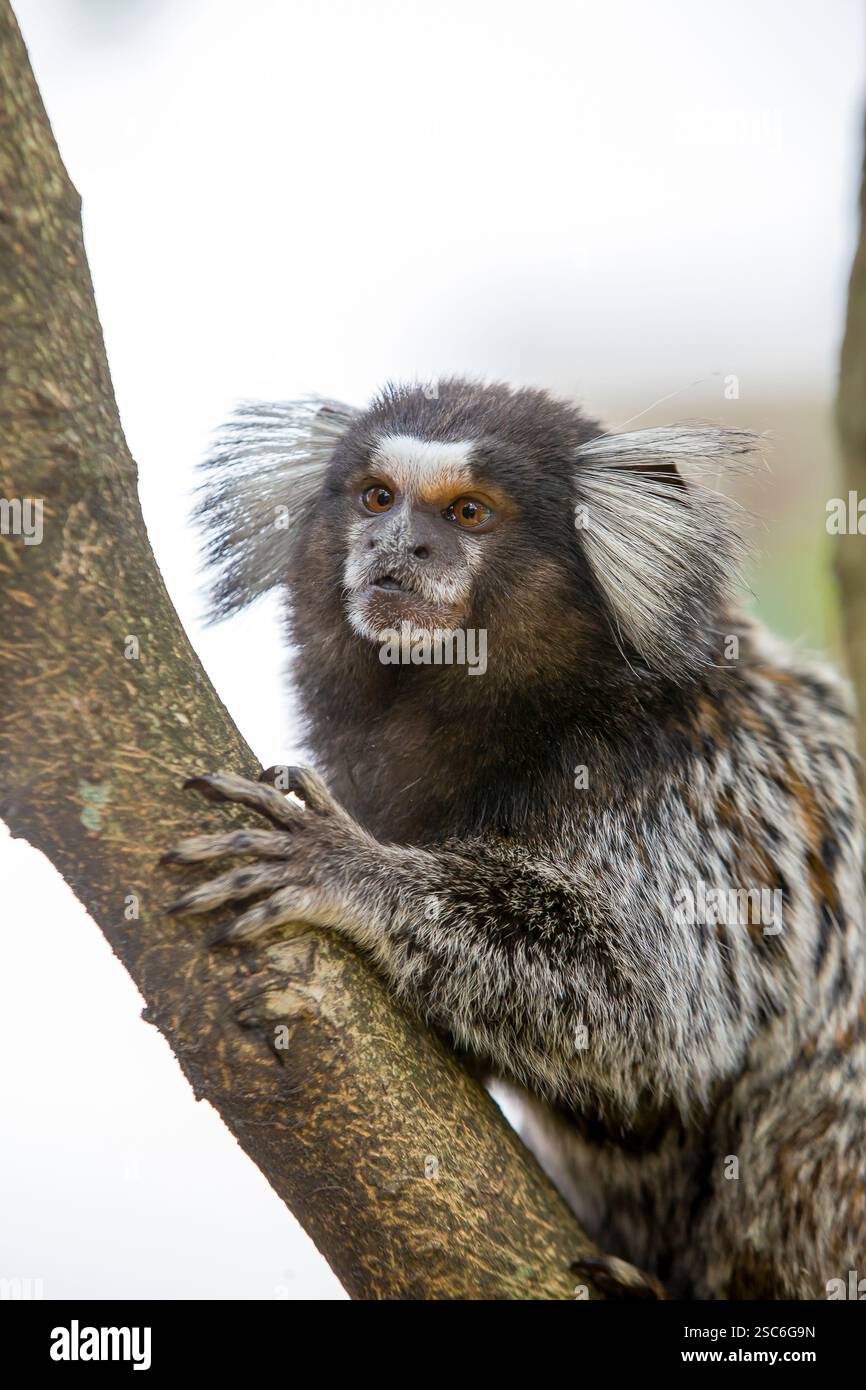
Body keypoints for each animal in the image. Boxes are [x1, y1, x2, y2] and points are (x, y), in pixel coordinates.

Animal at [163, 378, 866, 1300]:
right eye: (377, 498)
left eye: (468, 512)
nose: (402, 546)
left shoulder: (681, 790)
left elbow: (654, 1019)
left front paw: (348, 872)